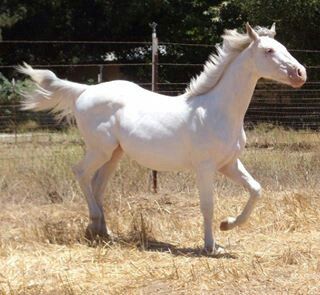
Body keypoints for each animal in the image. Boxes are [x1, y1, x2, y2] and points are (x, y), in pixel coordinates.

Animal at [16, 22, 304, 254]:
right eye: (269, 51)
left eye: (283, 47)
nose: (301, 73)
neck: (216, 111)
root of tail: (84, 91)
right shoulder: (206, 167)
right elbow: (207, 205)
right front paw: (211, 246)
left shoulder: (229, 164)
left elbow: (256, 189)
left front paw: (227, 224)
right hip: (100, 150)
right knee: (81, 174)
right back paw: (96, 225)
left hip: (114, 154)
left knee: (97, 185)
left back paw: (102, 232)